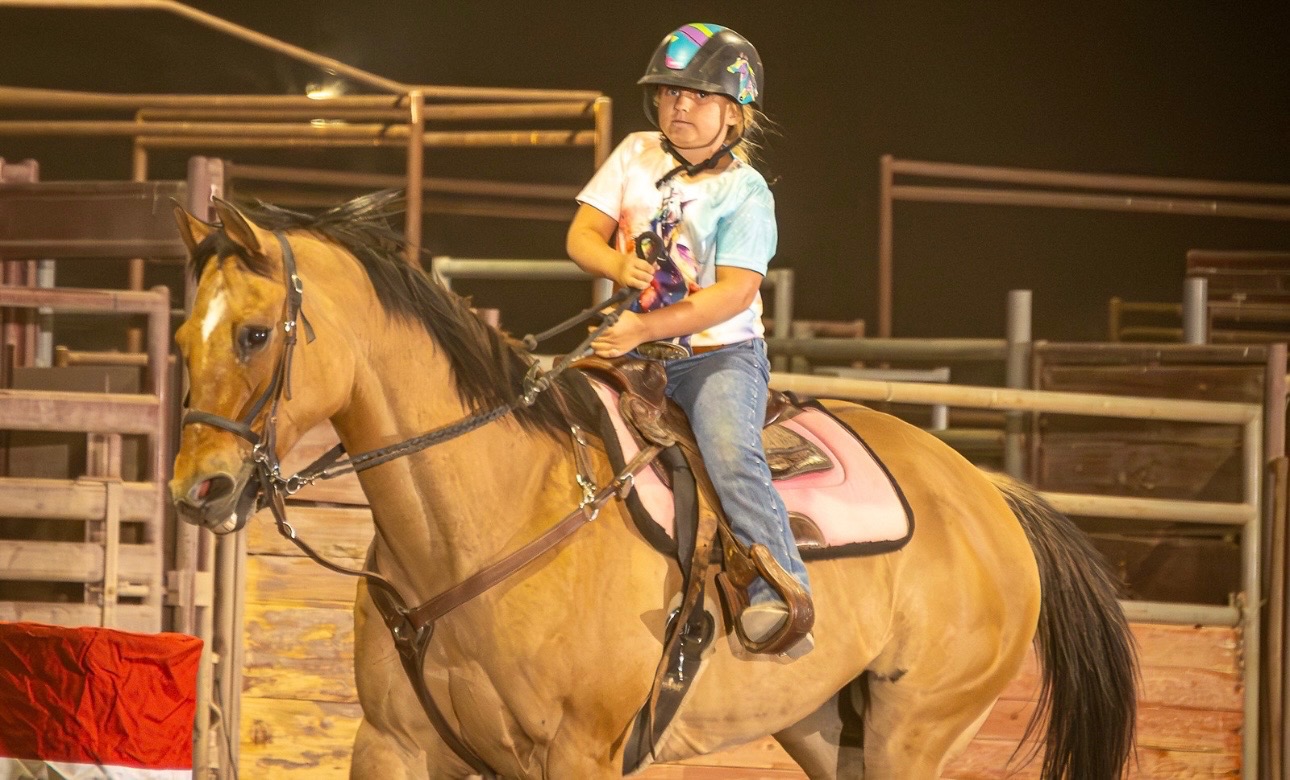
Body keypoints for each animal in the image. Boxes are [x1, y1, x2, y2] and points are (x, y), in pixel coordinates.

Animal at [168, 193, 1136, 779]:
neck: (489, 521)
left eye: (255, 333)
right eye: (181, 338)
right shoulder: (393, 745)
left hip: (918, 732)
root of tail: (990, 496)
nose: (197, 493)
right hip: (832, 728)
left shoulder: (577, 754)